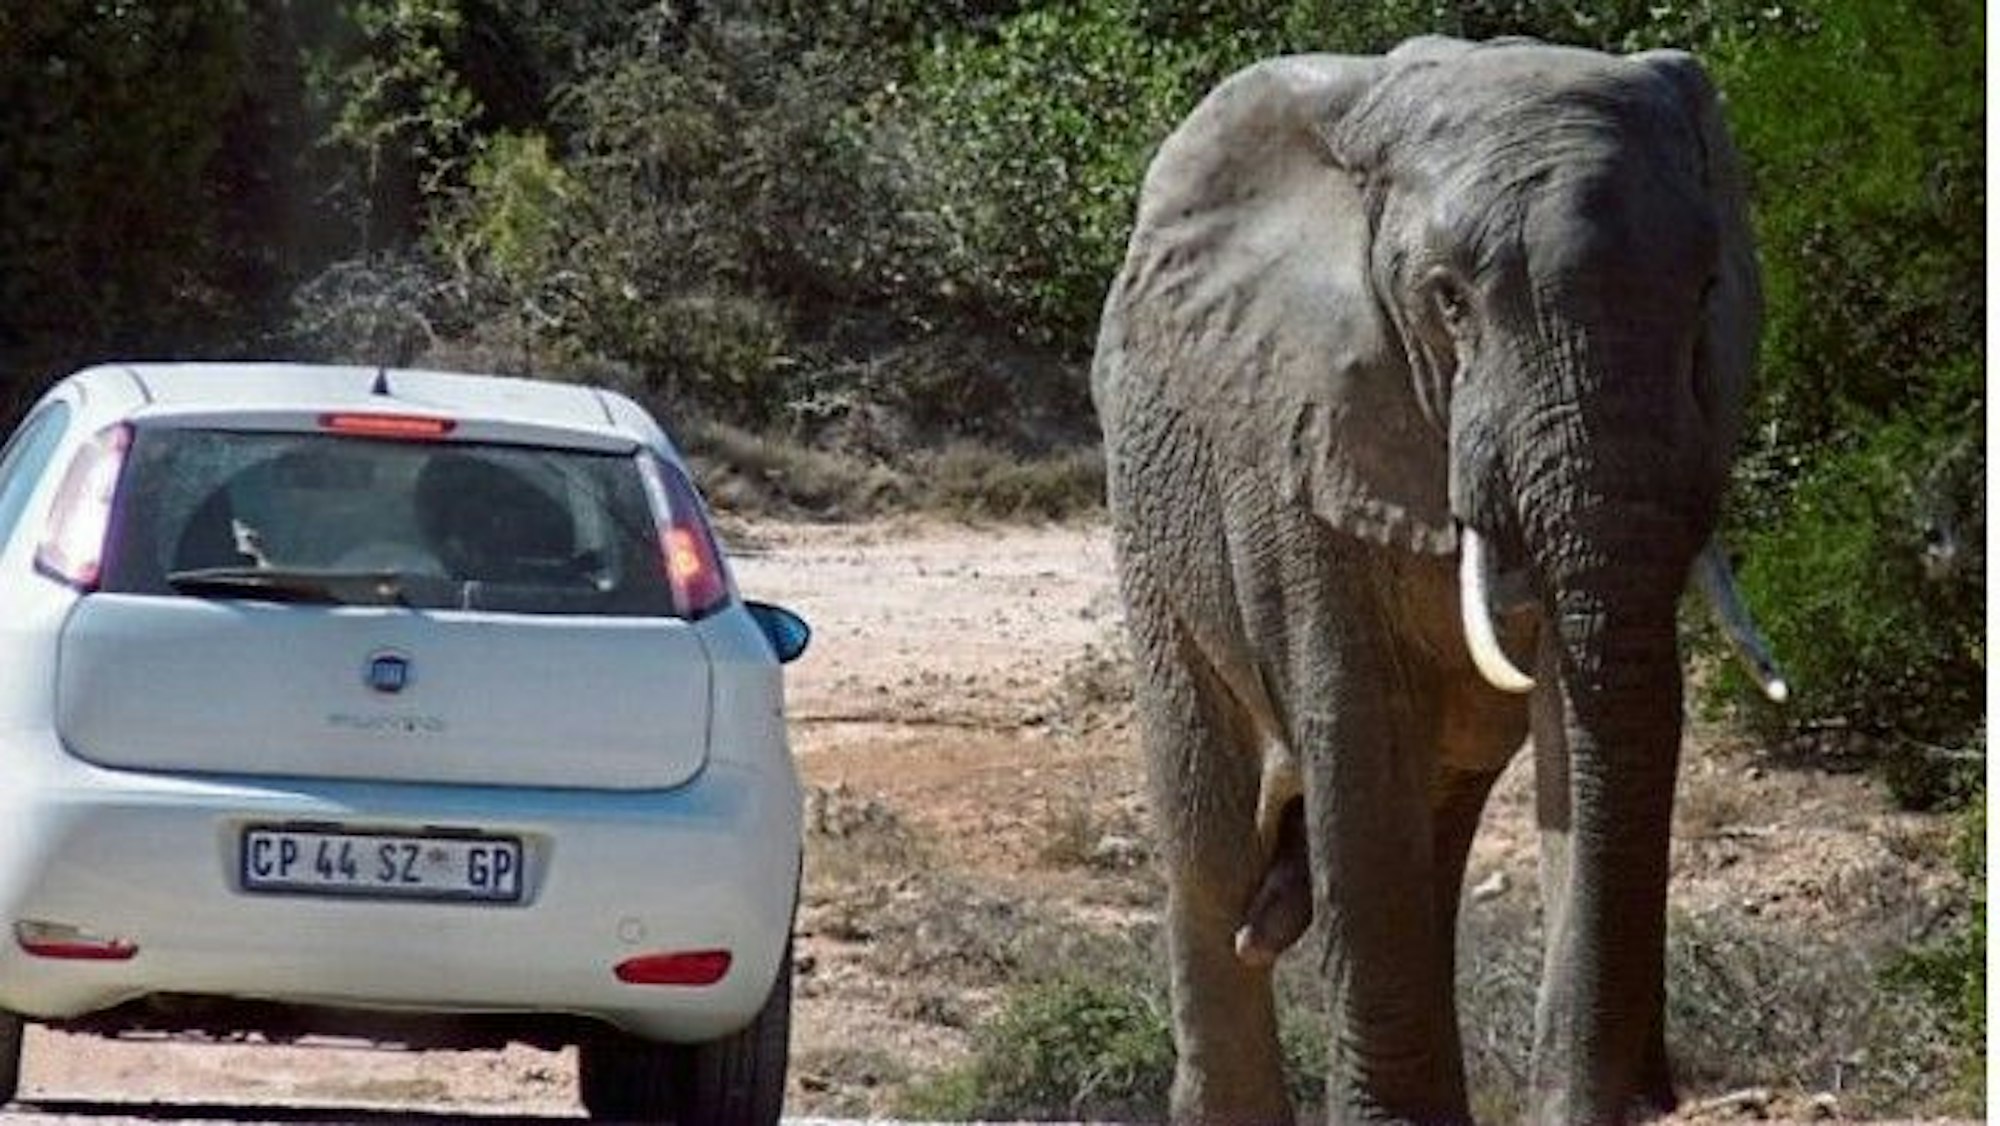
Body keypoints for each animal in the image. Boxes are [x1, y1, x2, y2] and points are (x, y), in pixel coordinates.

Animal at [1091, 36, 1787, 1125]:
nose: (1644, 1095)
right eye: (1449, 300)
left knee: (1429, 823)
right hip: (1147, 507)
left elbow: (1577, 727)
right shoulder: (1300, 437)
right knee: (1213, 840)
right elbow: (1356, 738)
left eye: (1708, 289)